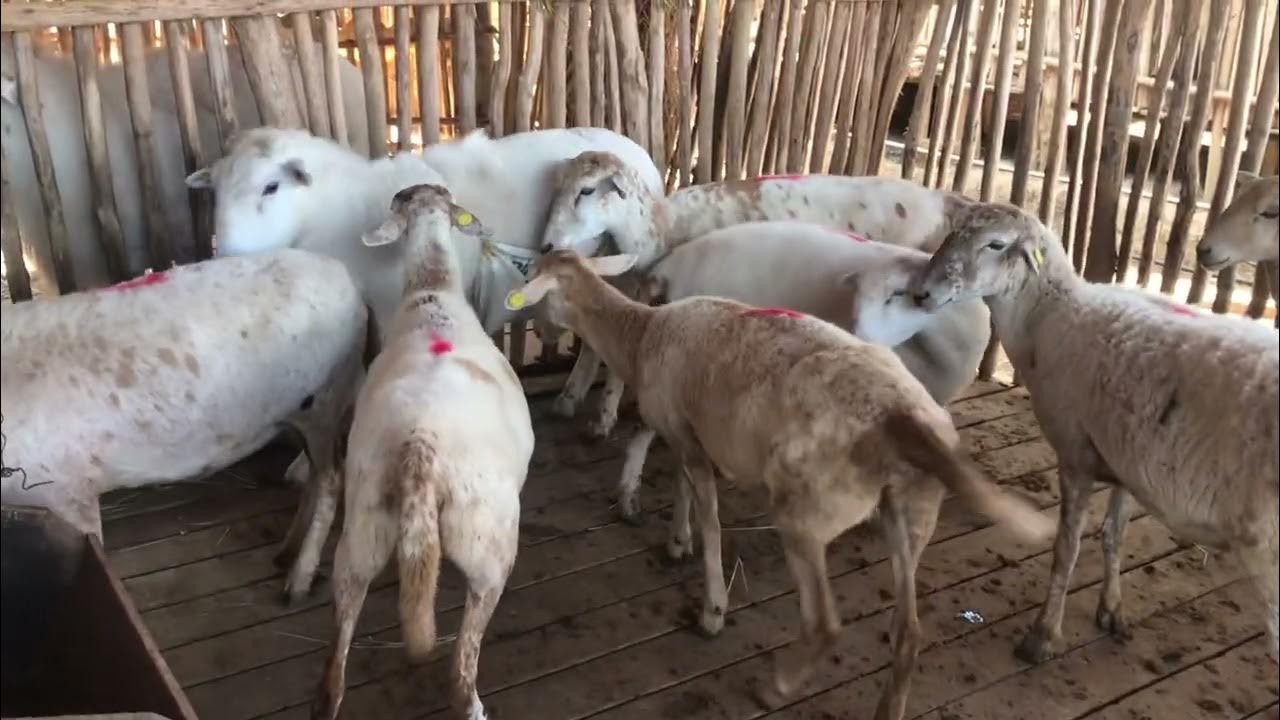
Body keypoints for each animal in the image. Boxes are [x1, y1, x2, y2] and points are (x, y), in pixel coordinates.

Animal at [0, 248, 369, 603]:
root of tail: (347, 279)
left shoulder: (66, 494)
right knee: (316, 477)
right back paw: (287, 552)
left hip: (324, 401)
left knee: (331, 480)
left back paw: (299, 580)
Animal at [313, 184, 533, 720]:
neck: (432, 291)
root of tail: (421, 450)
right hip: (488, 545)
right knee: (461, 670)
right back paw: (474, 704)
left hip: (361, 534)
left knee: (332, 677)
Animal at [538, 150, 969, 422]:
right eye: (557, 189)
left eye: (587, 190)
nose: (546, 244)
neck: (663, 227)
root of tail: (939, 197)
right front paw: (574, 398)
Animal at [609, 221, 992, 526]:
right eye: (856, 299)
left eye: (901, 295)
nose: (858, 337)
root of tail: (668, 268)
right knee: (643, 423)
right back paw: (634, 496)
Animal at [911, 201, 1280, 663]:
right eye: (952, 232)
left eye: (996, 244)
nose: (921, 293)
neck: (1050, 318)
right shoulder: (1125, 458)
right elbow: (1113, 536)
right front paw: (1112, 611)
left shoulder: (1075, 453)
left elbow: (1066, 549)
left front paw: (1043, 635)